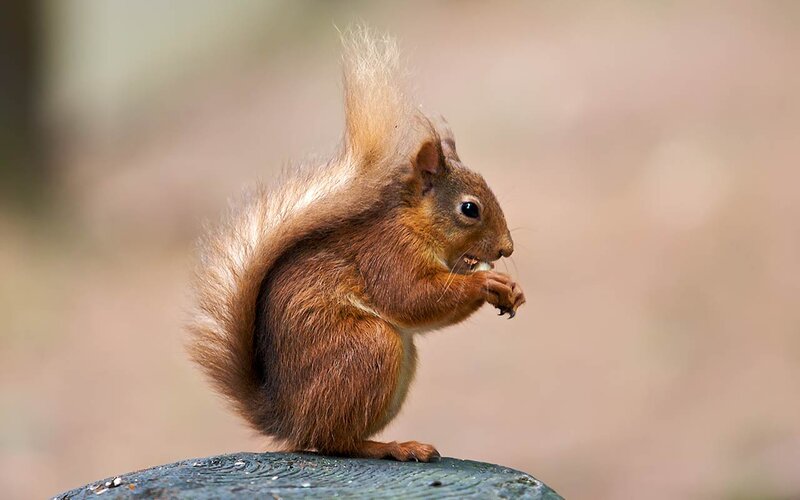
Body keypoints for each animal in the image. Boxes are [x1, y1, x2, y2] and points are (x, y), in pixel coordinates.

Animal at [188, 28, 525, 463]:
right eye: (470, 209)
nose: (506, 249)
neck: (415, 225)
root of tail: (288, 420)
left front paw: (509, 289)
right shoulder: (387, 254)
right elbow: (412, 297)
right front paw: (487, 283)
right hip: (369, 349)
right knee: (334, 442)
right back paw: (395, 446)